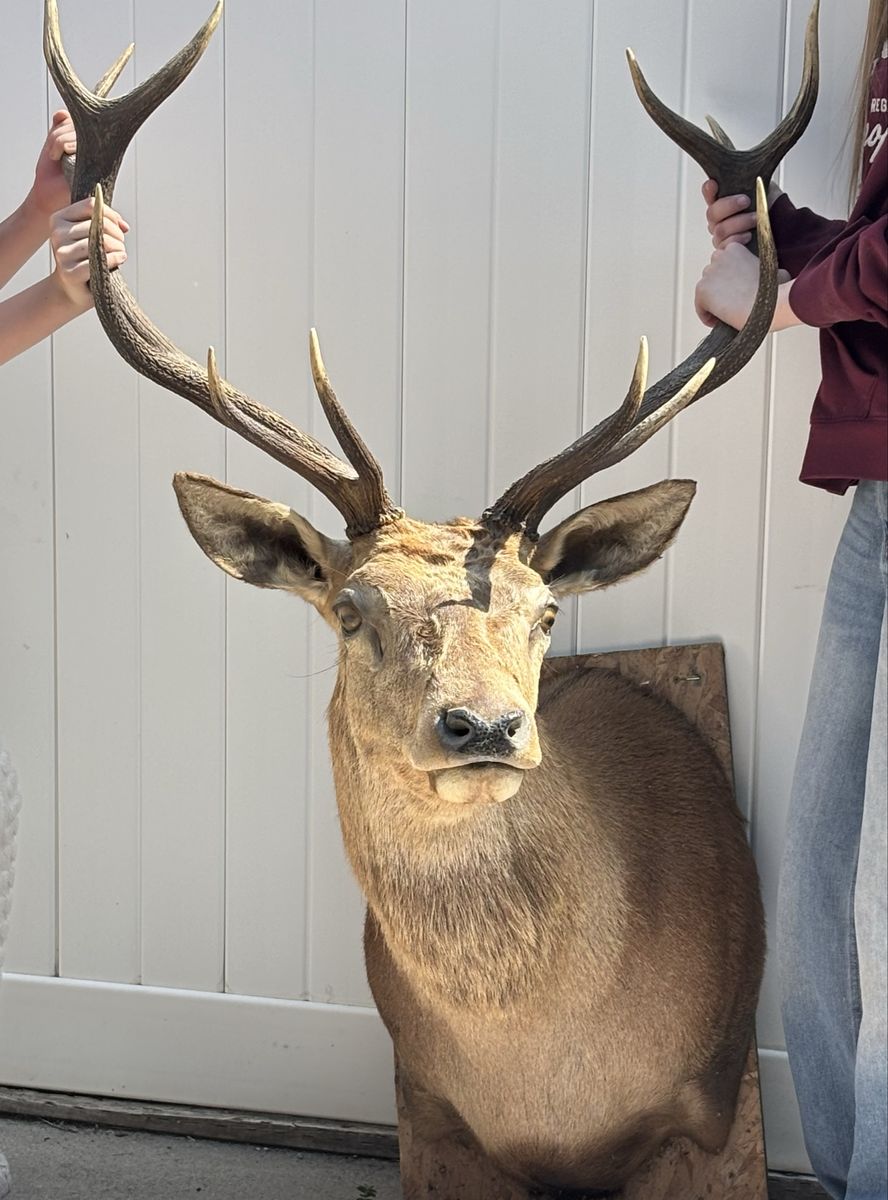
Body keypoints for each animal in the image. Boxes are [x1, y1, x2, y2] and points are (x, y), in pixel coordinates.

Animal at [45, 0, 820, 1193]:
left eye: (546, 612)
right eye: (351, 610)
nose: (484, 726)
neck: (552, 1086)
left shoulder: (712, 1106)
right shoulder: (426, 1105)